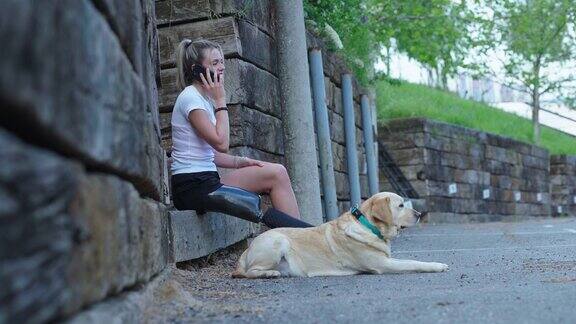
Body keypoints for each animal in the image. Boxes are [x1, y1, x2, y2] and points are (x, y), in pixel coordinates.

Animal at [232, 192, 448, 278]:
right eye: (401, 205)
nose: (419, 214)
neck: (367, 226)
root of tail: (246, 250)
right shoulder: (382, 264)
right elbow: (413, 262)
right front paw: (437, 266)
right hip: (278, 241)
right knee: (249, 272)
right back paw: (268, 273)